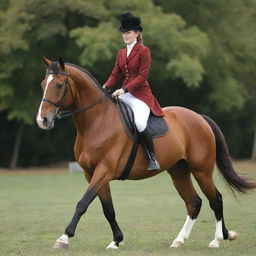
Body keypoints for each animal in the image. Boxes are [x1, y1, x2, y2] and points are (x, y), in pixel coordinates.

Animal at [36, 56, 256, 250]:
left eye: (59, 85)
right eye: (43, 84)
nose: (42, 120)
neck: (97, 122)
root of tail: (199, 117)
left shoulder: (104, 170)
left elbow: (82, 203)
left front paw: (63, 238)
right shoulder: (92, 174)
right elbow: (108, 209)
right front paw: (116, 240)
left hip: (201, 170)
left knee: (215, 199)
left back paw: (217, 240)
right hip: (179, 172)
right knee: (194, 202)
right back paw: (180, 240)